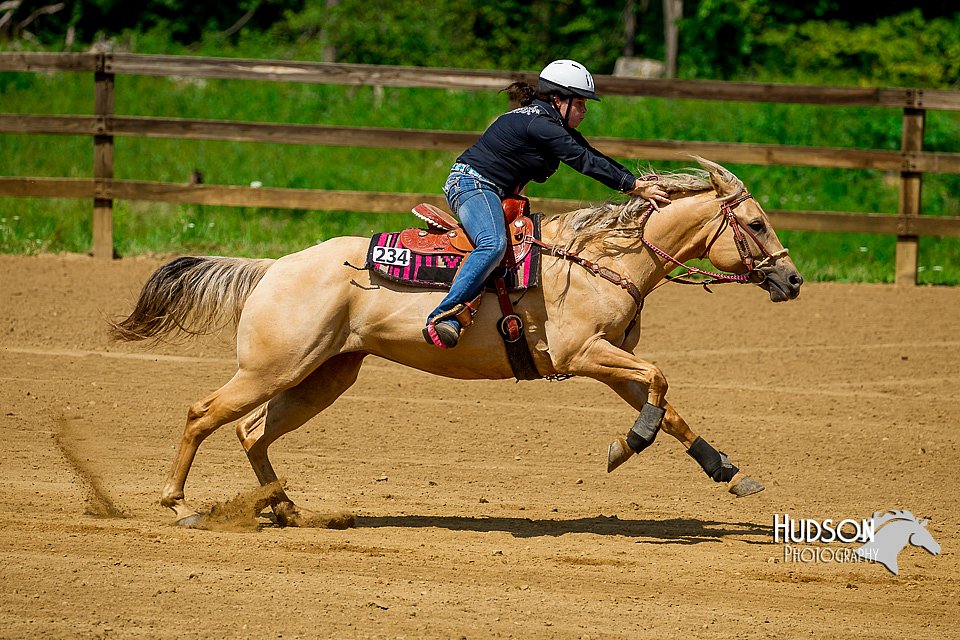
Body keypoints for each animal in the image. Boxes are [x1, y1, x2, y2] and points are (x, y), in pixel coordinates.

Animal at [110, 158, 804, 528]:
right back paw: (180, 506)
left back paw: (285, 510)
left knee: (251, 431)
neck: (600, 260)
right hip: (273, 369)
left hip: (322, 377)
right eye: (756, 222)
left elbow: (668, 405)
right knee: (202, 415)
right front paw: (625, 446)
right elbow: (660, 381)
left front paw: (730, 473)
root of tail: (271, 266)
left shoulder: (610, 364)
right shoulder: (584, 356)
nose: (793, 279)